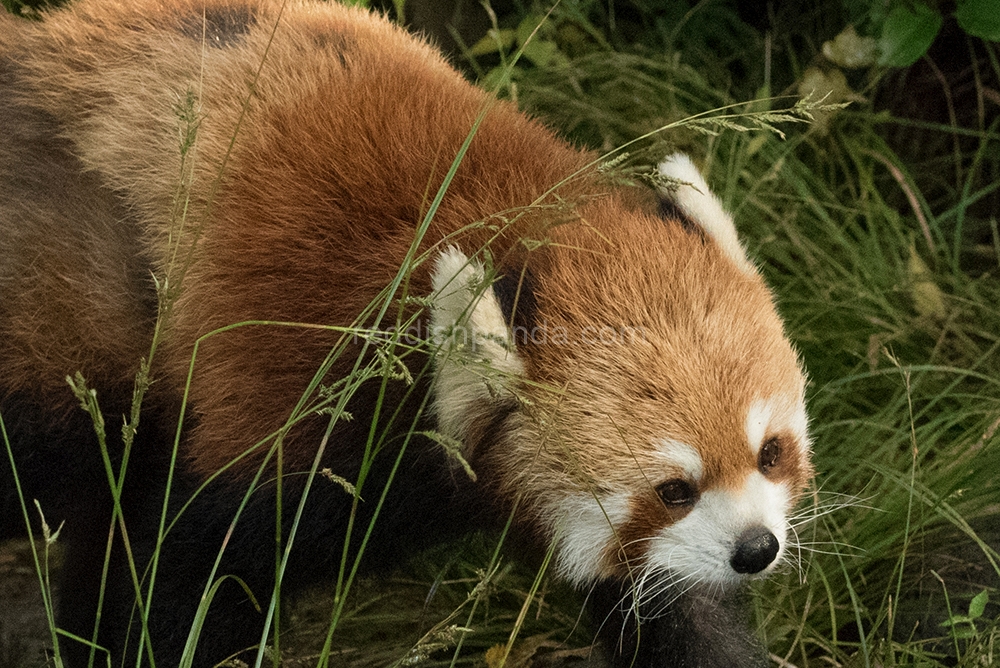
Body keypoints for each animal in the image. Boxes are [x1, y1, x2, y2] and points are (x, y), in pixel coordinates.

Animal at [0, 1, 812, 668]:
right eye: (673, 489)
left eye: (770, 451)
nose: (757, 548)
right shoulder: (299, 394)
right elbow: (181, 573)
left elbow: (676, 607)